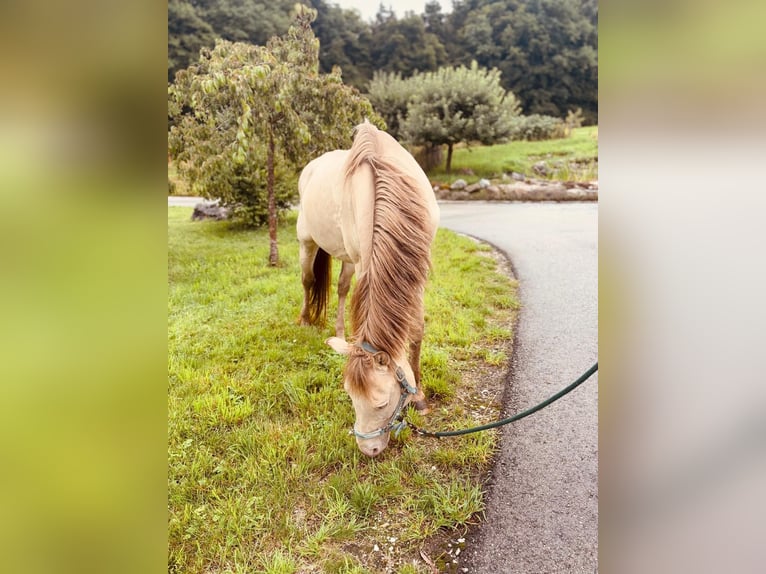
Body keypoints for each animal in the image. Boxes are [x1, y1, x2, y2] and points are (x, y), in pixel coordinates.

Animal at [296, 121, 440, 457]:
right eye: (349, 397)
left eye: (381, 403)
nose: (368, 450)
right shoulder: (367, 265)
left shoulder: (418, 270)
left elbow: (416, 330)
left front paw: (419, 397)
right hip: (308, 243)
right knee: (308, 281)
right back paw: (306, 320)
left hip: (347, 258)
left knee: (341, 289)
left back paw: (339, 332)